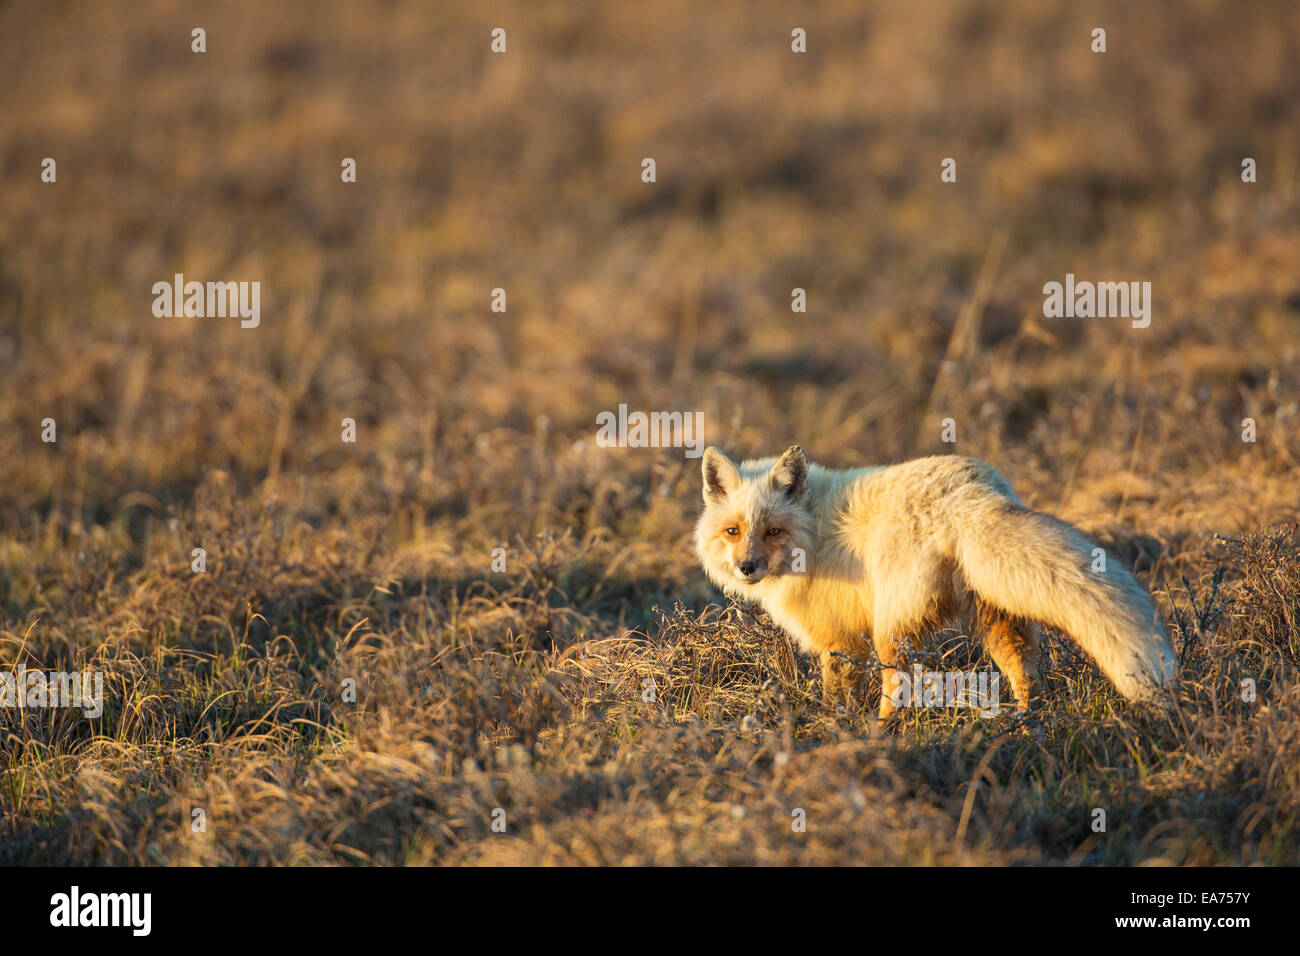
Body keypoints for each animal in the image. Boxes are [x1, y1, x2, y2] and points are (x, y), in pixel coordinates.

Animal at [694, 445, 1177, 719]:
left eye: (772, 530)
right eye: (733, 531)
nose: (747, 567)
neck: (815, 529)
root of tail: (970, 491)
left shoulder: (841, 640)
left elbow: (836, 695)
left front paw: (831, 730)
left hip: (891, 631)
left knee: (899, 688)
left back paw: (883, 734)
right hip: (996, 621)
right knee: (1026, 676)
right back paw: (1027, 725)